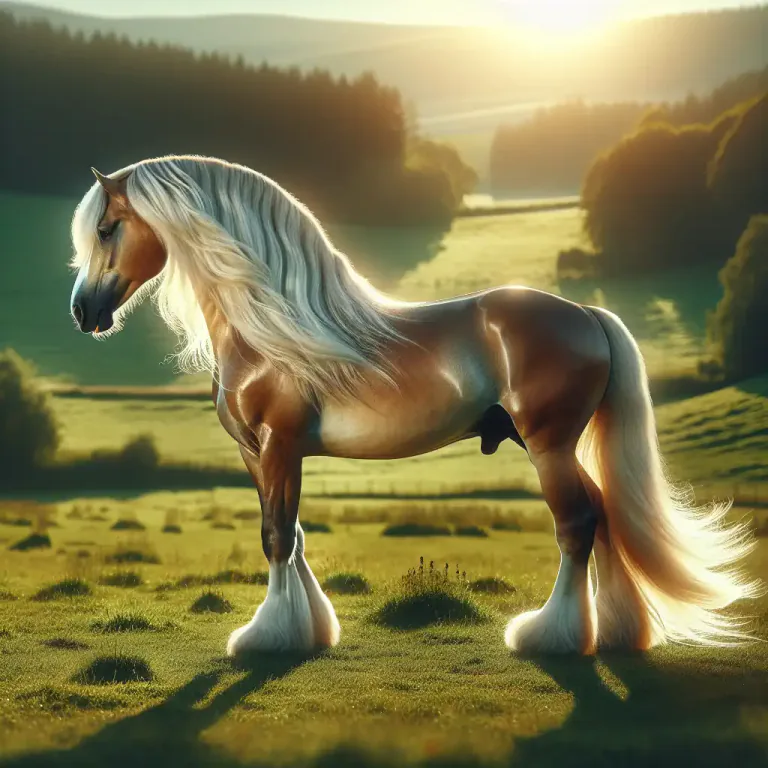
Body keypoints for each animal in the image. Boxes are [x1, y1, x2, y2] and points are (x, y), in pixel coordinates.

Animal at [69, 155, 759, 657]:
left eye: (106, 229)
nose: (82, 311)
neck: (271, 329)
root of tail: (586, 313)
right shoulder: (255, 454)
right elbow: (291, 533)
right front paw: (310, 629)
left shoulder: (280, 446)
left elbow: (276, 537)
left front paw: (269, 638)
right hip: (555, 446)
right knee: (606, 513)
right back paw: (617, 633)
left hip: (549, 446)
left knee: (578, 523)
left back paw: (549, 636)